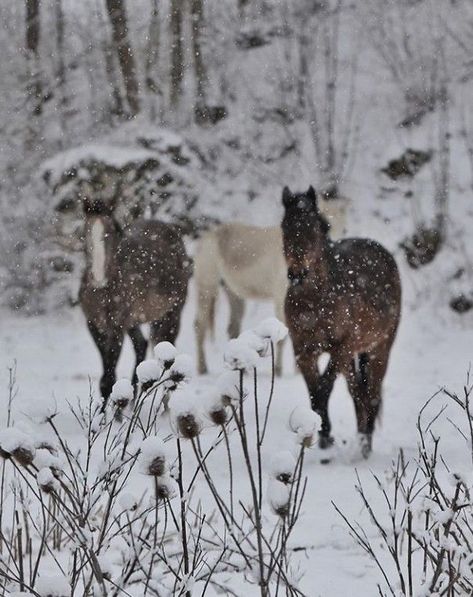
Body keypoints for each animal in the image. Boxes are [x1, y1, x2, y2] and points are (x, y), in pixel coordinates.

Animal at [79, 200, 190, 406]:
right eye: (86, 232)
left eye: (110, 233)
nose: (98, 278)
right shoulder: (93, 326)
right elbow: (106, 379)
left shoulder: (116, 327)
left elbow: (108, 380)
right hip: (134, 321)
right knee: (141, 345)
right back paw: (132, 403)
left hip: (172, 314)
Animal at [193, 197, 346, 372]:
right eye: (325, 222)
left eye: (342, 224)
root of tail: (203, 239)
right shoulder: (281, 298)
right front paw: (279, 370)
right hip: (206, 288)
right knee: (200, 325)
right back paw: (202, 368)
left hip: (233, 293)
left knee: (232, 327)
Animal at [282, 186, 400, 456]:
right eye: (284, 227)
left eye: (314, 229)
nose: (297, 274)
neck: (313, 302)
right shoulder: (302, 352)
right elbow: (314, 392)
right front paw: (322, 434)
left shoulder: (341, 348)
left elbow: (323, 389)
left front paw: (325, 435)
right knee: (358, 393)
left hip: (380, 349)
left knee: (372, 394)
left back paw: (366, 444)